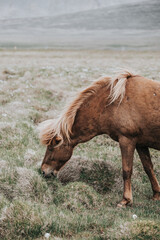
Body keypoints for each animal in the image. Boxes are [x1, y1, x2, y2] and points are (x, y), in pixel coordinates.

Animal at [38, 70, 160, 207]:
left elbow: (126, 170)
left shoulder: (126, 141)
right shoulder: (140, 144)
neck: (113, 103)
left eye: (51, 147)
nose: (43, 171)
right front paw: (156, 194)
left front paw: (125, 200)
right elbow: (148, 168)